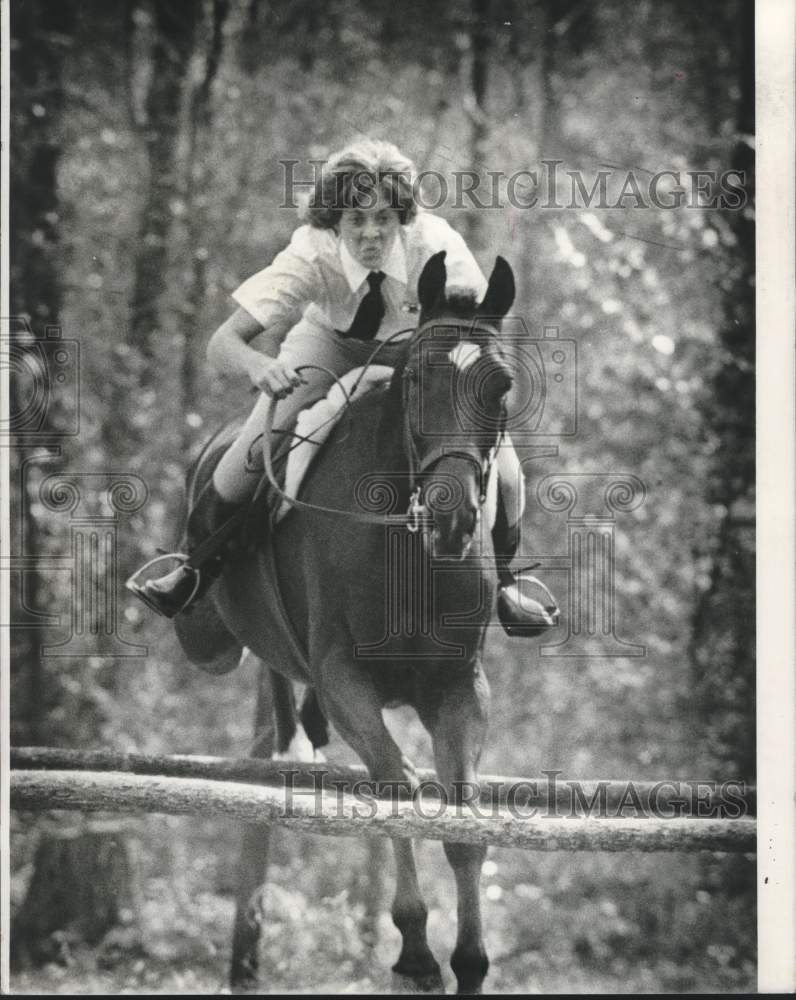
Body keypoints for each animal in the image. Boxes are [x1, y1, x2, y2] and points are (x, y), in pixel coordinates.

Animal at [179, 250, 516, 992]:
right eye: (416, 378)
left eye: (503, 386)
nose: (452, 519)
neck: (408, 550)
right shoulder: (345, 681)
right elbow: (395, 789)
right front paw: (415, 950)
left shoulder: (460, 689)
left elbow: (462, 820)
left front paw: (471, 961)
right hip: (211, 639)